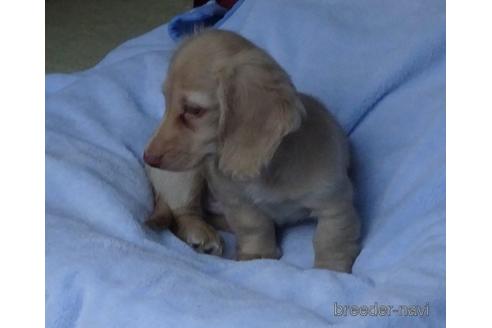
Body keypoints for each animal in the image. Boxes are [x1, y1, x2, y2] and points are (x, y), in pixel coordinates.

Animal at [144, 30, 360, 272]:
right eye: (166, 103)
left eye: (194, 110)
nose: (147, 157)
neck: (269, 170)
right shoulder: (239, 202)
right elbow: (254, 227)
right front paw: (257, 256)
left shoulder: (335, 205)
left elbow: (331, 239)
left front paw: (330, 269)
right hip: (187, 177)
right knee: (184, 213)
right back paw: (201, 234)